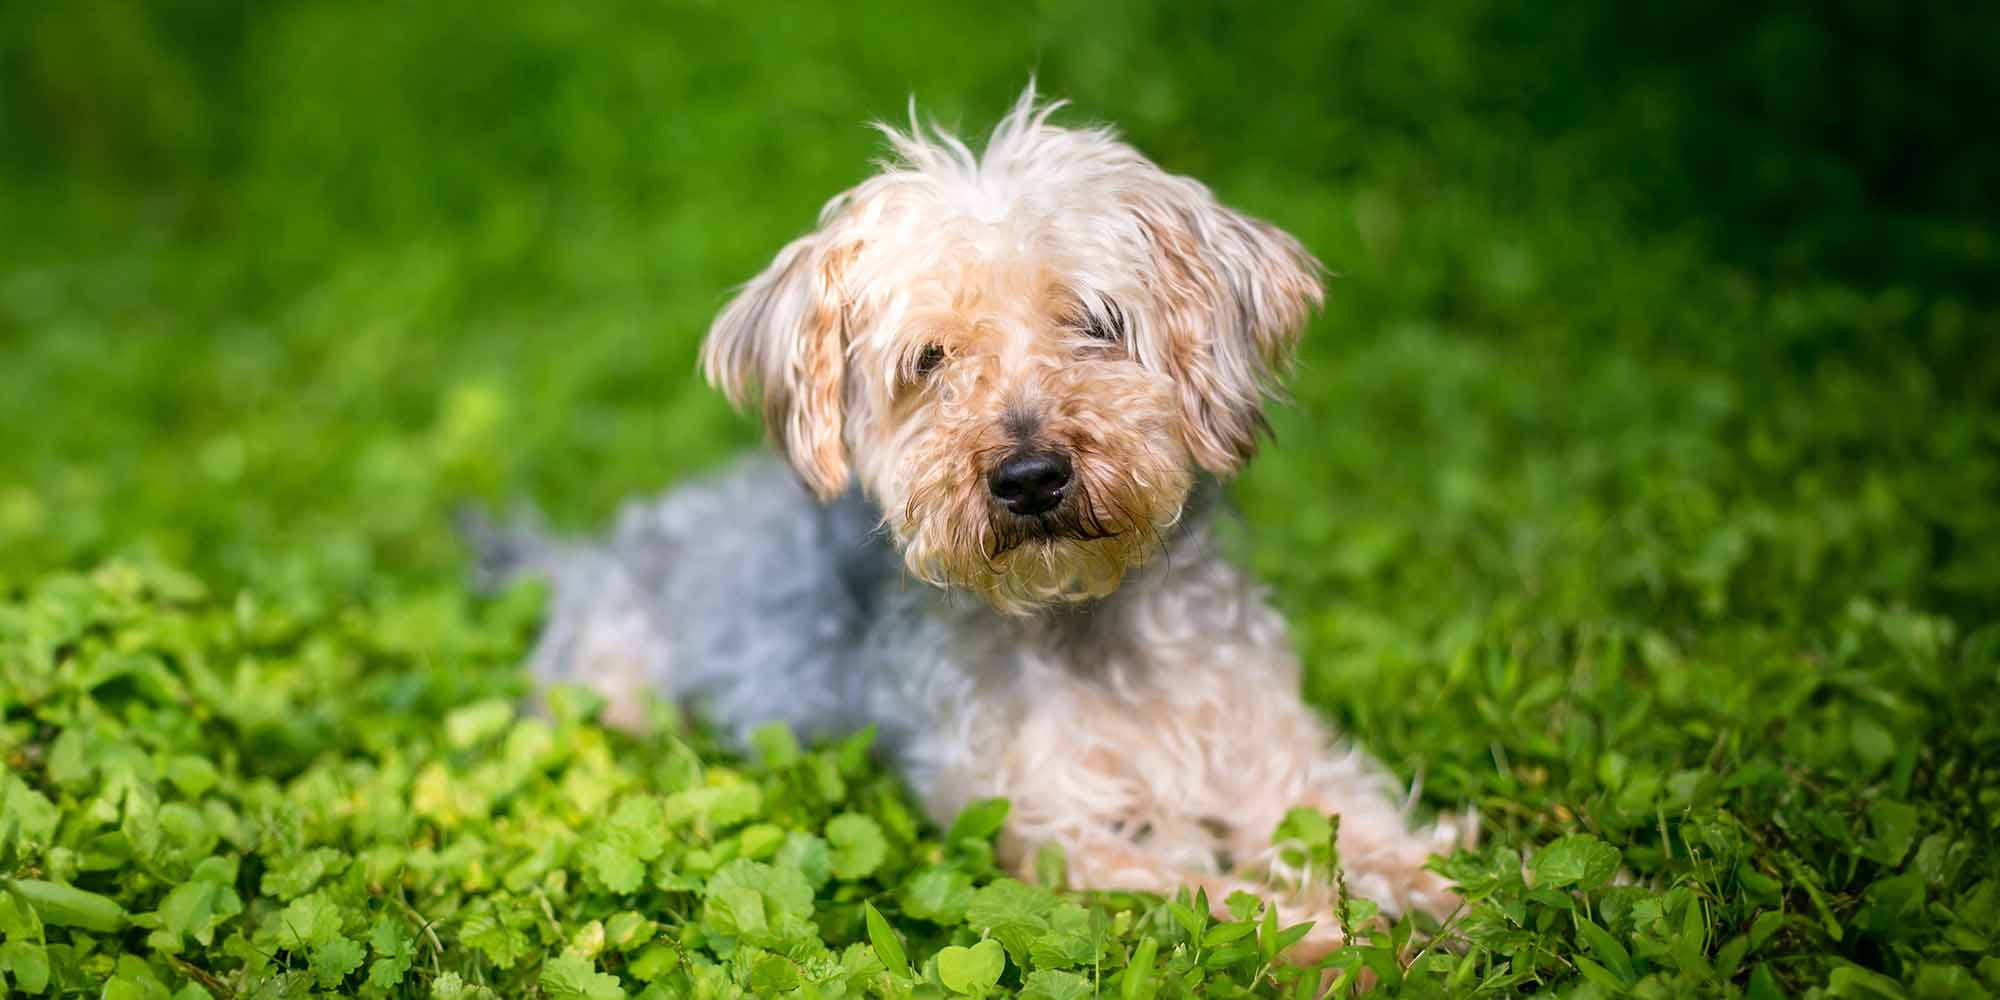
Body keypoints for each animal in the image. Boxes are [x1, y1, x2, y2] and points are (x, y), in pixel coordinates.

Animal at [470, 86, 1472, 944]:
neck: (1085, 623)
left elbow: (1358, 827)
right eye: (930, 359)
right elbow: (1213, 893)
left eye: (1096, 322)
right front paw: (1332, 938)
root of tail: (588, 553)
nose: (1029, 478)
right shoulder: (1051, 832)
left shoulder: (1276, 757)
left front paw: (1451, 894)